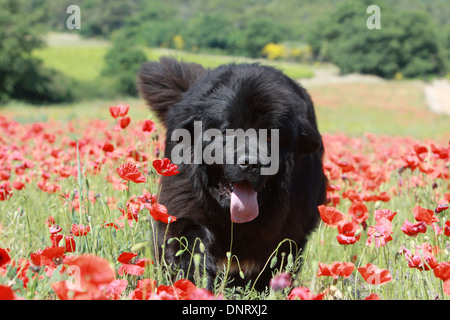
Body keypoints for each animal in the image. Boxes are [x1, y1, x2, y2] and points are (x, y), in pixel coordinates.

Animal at [137, 57, 326, 290]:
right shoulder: (184, 205)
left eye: (270, 137)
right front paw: (194, 283)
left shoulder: (289, 228)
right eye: (227, 132)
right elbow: (190, 245)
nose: (250, 164)